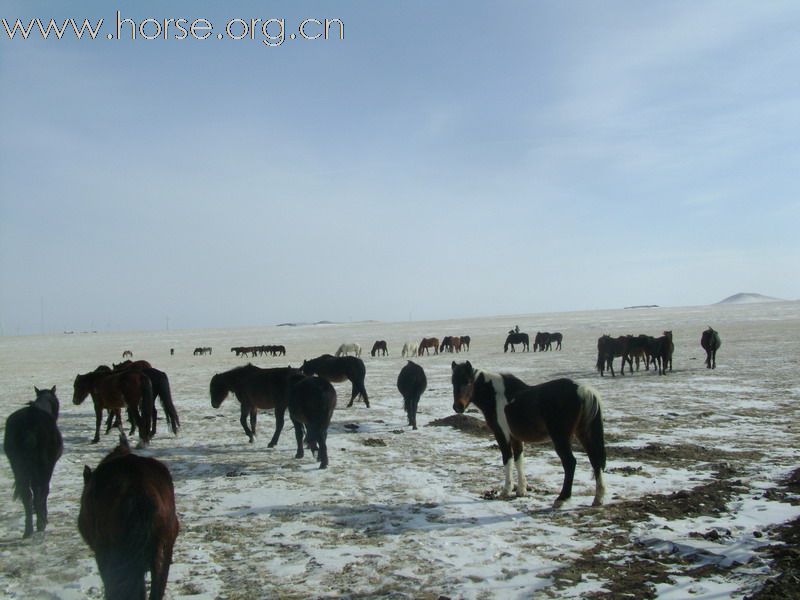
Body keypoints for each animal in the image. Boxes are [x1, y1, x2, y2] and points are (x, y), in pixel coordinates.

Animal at [3, 390, 63, 540]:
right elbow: (43, 491)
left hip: (18, 466)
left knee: (27, 495)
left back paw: (28, 529)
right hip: (43, 466)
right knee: (39, 490)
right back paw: (41, 523)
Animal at [450, 360, 608, 506]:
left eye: (468, 381)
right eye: (453, 382)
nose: (458, 407)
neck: (496, 396)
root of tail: (583, 390)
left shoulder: (502, 435)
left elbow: (507, 459)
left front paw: (506, 491)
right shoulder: (516, 438)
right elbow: (519, 460)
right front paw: (521, 490)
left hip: (561, 437)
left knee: (570, 463)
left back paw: (562, 499)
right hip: (583, 433)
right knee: (595, 460)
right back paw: (598, 498)